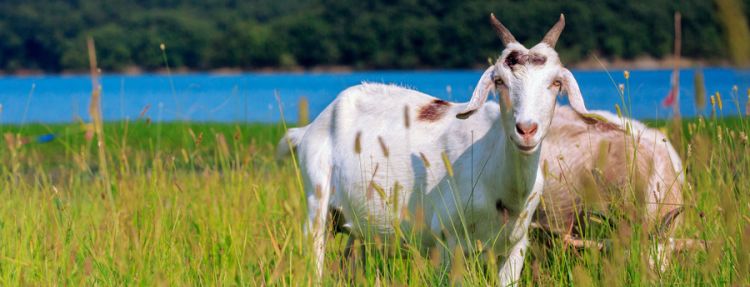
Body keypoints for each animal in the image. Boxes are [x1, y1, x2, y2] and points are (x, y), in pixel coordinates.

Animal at [282, 14, 600, 286]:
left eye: (556, 82)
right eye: (499, 81)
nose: (526, 129)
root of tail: (312, 126)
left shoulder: (516, 246)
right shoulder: (448, 242)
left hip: (357, 226)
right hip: (316, 200)